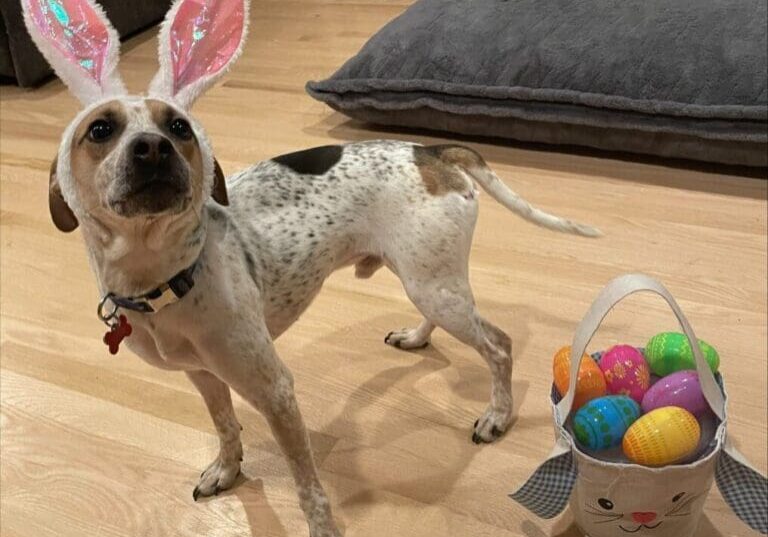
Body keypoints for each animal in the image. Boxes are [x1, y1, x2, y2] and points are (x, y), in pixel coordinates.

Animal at [22, 1, 600, 536]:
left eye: (180, 126)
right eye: (100, 129)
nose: (153, 148)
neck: (167, 279)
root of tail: (432, 150)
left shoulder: (276, 392)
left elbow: (306, 484)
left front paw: (320, 526)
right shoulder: (204, 377)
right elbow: (226, 427)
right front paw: (226, 470)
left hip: (434, 286)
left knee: (498, 345)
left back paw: (497, 415)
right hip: (425, 276)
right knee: (448, 319)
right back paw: (416, 337)